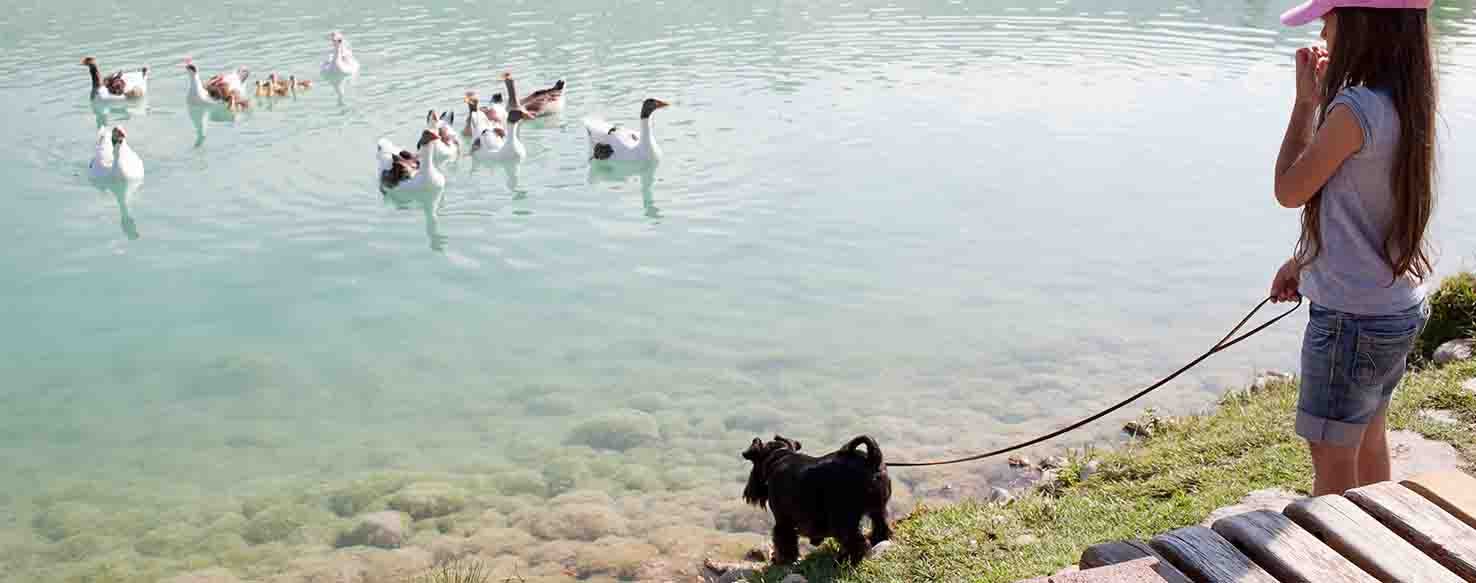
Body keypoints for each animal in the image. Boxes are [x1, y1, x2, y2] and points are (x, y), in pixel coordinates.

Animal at [738, 433, 885, 566]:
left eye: (754, 464)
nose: (747, 493)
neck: (779, 456)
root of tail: (871, 460)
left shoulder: (782, 519)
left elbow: (784, 540)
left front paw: (784, 560)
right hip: (878, 509)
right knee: (880, 527)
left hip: (843, 518)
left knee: (856, 542)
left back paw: (847, 560)